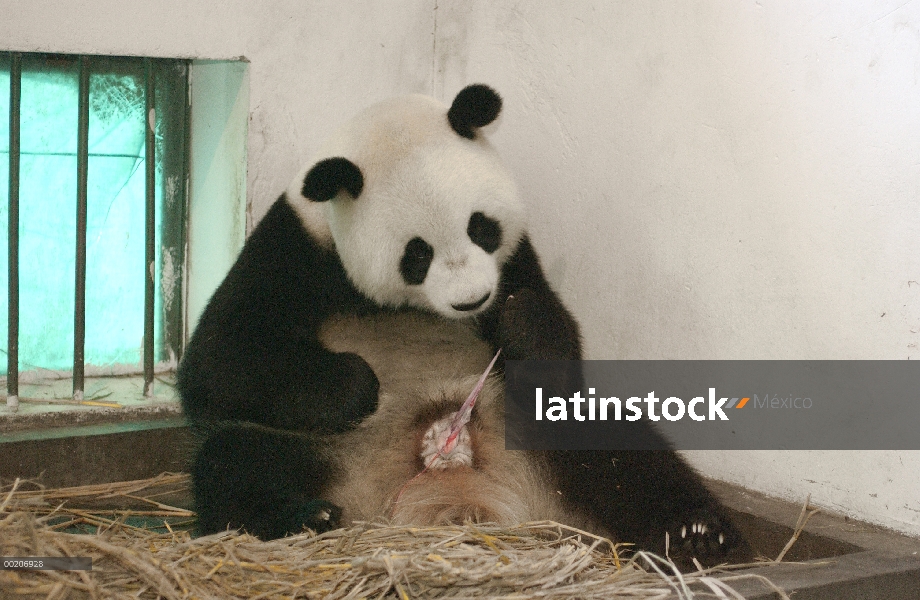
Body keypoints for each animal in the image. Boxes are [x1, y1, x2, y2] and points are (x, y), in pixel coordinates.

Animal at [176, 83, 752, 568]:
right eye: (417, 254)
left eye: (481, 227)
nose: (472, 300)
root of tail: (454, 480)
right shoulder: (295, 246)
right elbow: (220, 362)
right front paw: (355, 385)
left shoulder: (515, 259)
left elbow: (553, 342)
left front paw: (520, 327)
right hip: (335, 452)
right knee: (236, 461)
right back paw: (303, 517)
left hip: (532, 429)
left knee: (614, 447)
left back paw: (696, 534)